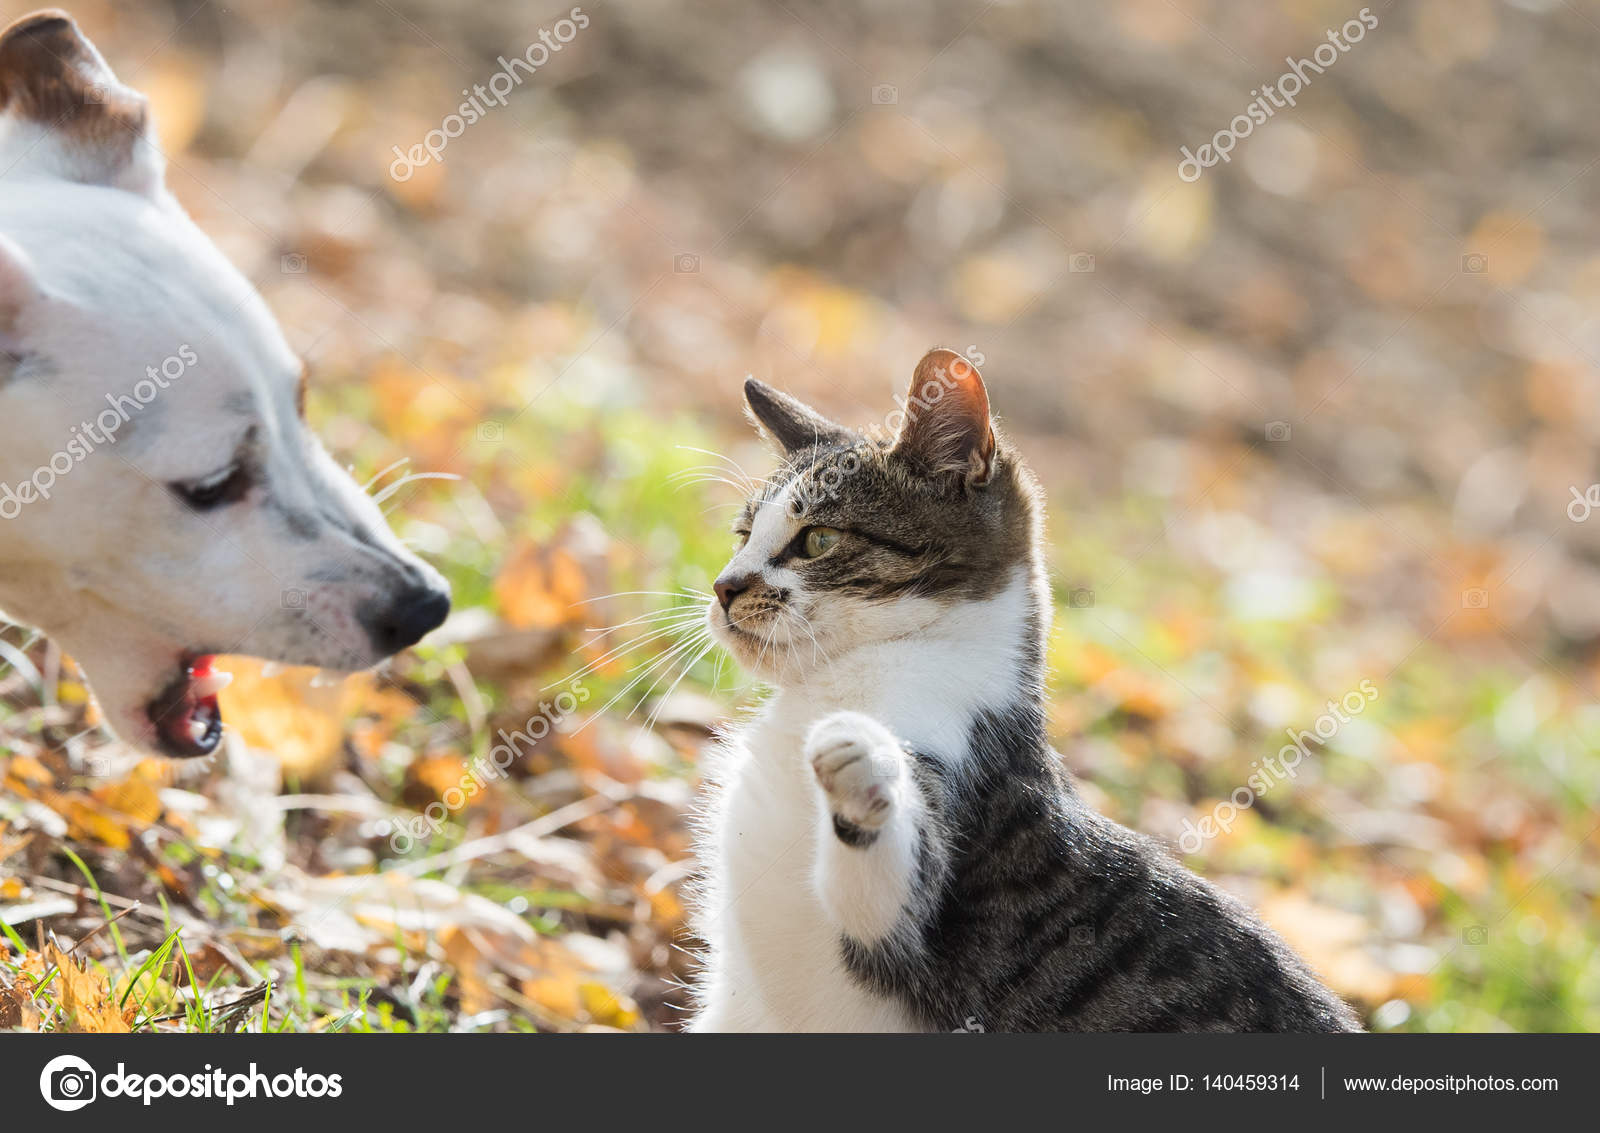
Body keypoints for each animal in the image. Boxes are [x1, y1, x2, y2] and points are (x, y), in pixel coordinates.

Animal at [688, 348, 1363, 1030]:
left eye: (818, 539)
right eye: (743, 535)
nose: (724, 587)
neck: (836, 684)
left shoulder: (941, 847)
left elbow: (886, 899)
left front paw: (861, 765)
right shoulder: (732, 1005)